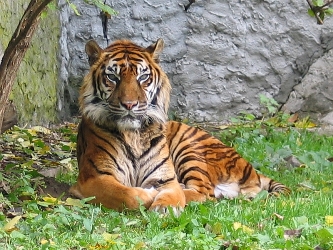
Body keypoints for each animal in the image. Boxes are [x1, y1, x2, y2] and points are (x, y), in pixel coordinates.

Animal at [68, 38, 290, 214]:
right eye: (112, 77)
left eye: (143, 77)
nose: (130, 104)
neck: (134, 134)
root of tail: (251, 169)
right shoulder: (94, 178)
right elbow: (127, 194)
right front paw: (149, 195)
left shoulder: (166, 179)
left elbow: (172, 194)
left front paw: (165, 206)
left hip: (189, 148)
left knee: (205, 192)